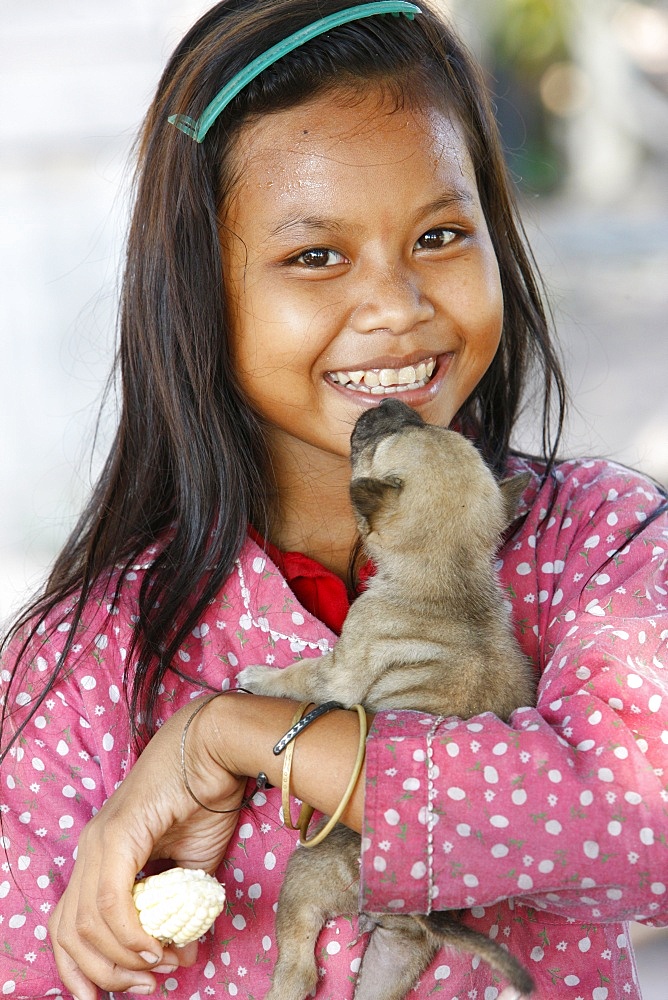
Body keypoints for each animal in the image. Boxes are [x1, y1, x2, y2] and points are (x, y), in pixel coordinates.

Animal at [237, 398, 536, 1000]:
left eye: (379, 443)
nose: (391, 404)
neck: (451, 572)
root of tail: (417, 911)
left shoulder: (340, 671)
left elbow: (301, 675)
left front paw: (259, 676)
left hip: (304, 877)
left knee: (298, 961)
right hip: (397, 956)